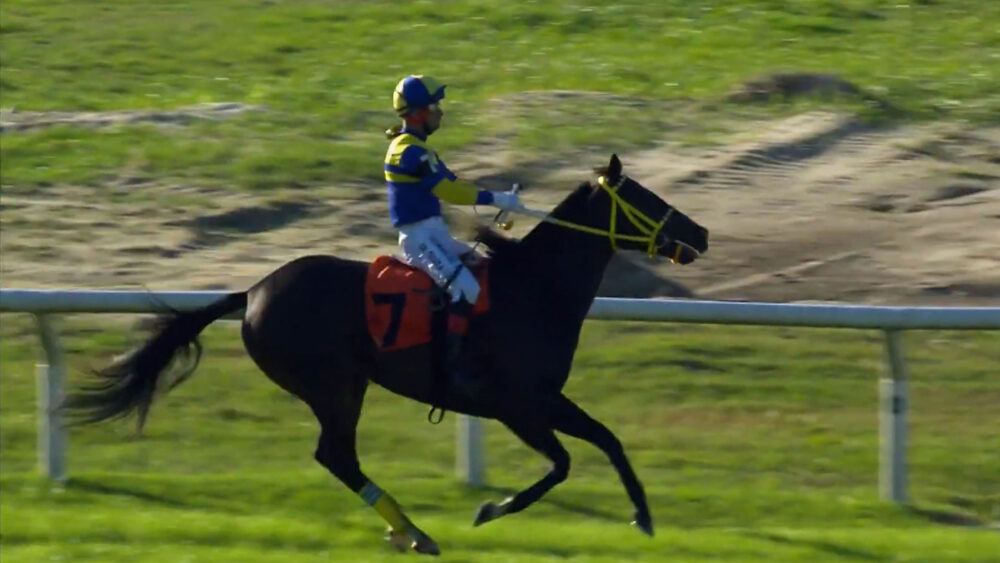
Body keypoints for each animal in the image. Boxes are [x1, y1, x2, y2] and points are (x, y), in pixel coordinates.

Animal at [65, 154, 709, 555]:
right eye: (647, 197)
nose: (701, 234)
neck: (534, 290)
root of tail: (252, 291)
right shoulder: (515, 405)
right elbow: (562, 465)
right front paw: (491, 509)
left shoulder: (546, 398)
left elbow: (608, 440)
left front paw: (644, 516)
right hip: (336, 385)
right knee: (336, 455)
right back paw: (416, 532)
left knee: (338, 457)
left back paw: (410, 530)